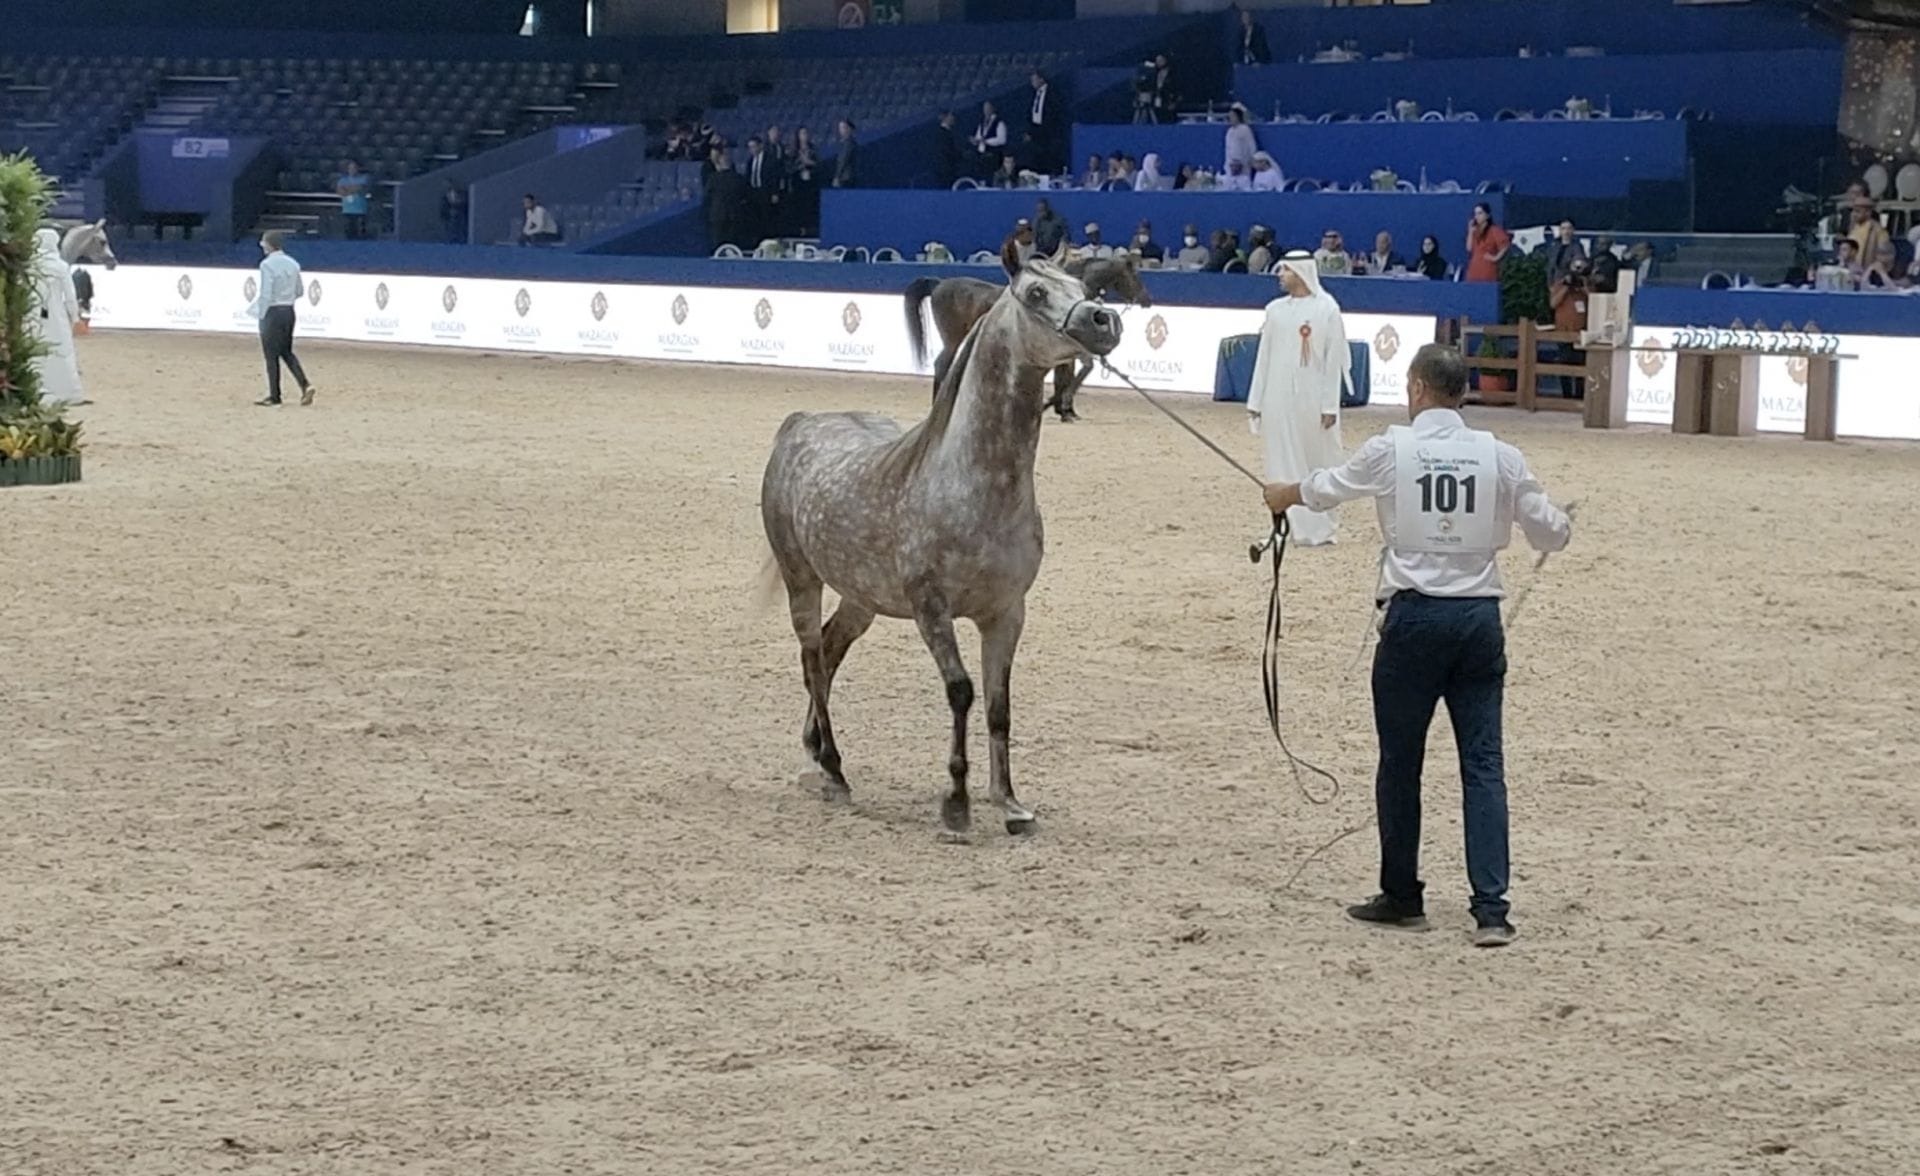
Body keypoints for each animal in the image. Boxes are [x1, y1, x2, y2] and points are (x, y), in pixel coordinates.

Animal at [764, 245, 1121, 837]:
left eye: (1082, 286)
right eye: (1037, 292)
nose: (1104, 321)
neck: (973, 485)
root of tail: (799, 423)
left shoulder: (1006, 612)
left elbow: (999, 705)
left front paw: (1010, 803)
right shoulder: (932, 609)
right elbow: (961, 692)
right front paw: (956, 803)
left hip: (861, 598)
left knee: (831, 652)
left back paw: (815, 753)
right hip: (802, 579)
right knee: (812, 657)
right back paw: (834, 770)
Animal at [902, 247, 1152, 422]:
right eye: (1135, 276)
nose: (1147, 301)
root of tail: (939, 283)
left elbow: (1070, 376)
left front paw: (1064, 409)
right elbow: (1072, 376)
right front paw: (1060, 408)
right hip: (952, 339)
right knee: (942, 364)